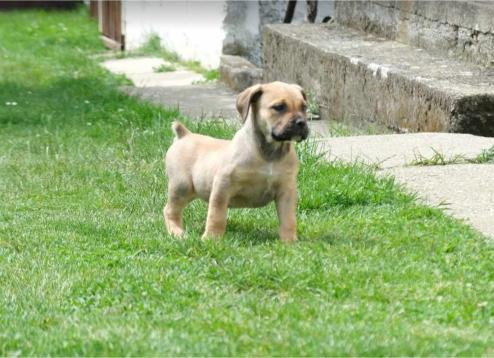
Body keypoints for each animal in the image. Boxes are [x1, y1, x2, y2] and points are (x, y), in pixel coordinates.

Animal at [162, 82, 308, 241]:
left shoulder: (286, 191)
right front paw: (211, 238)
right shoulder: (222, 186)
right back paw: (177, 232)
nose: (301, 122)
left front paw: (289, 241)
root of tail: (184, 134)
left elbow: (288, 218)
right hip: (182, 186)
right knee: (170, 210)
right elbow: (216, 215)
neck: (269, 152)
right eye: (279, 107)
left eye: (304, 107)